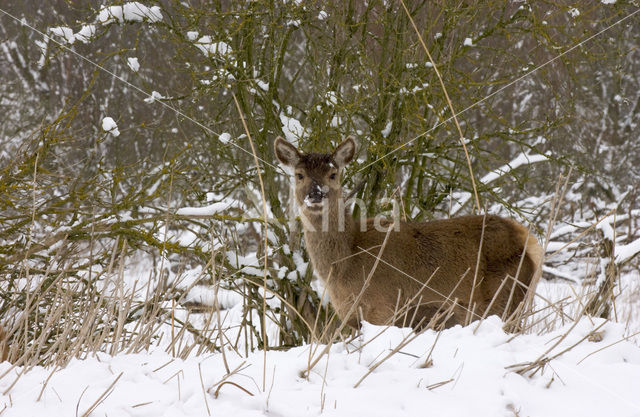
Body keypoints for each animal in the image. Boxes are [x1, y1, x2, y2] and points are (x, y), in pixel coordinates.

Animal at [272, 135, 544, 330]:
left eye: (333, 173)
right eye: (299, 175)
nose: (315, 194)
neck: (345, 263)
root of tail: (528, 240)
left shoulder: (383, 310)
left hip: (504, 298)